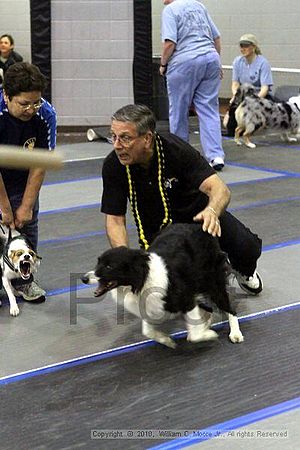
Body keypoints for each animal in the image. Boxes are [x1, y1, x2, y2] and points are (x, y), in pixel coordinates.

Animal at [81, 224, 244, 348]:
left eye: (109, 266)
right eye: (98, 262)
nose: (84, 279)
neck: (140, 280)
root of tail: (201, 227)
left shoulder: (185, 299)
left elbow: (194, 336)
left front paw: (208, 334)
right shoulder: (149, 307)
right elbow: (147, 331)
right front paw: (166, 340)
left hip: (212, 282)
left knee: (229, 308)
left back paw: (235, 334)